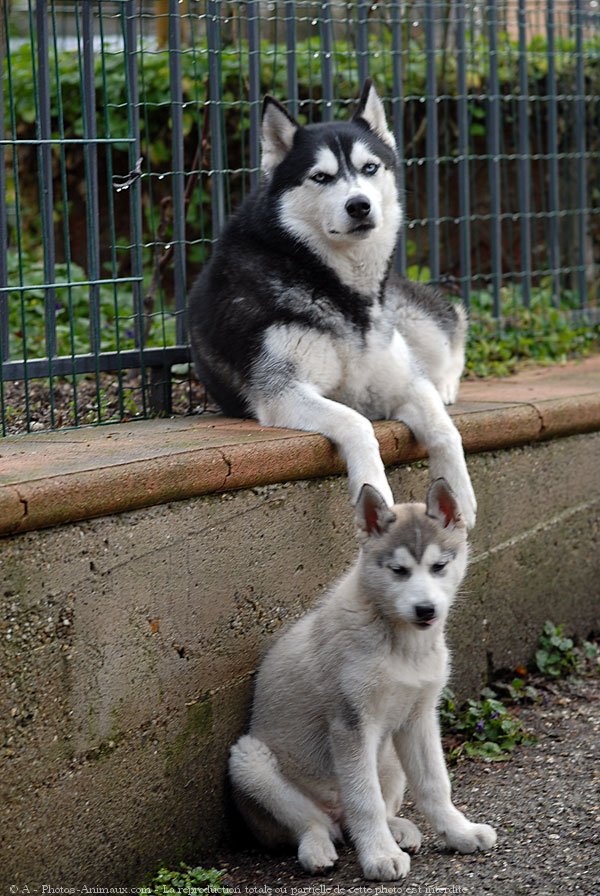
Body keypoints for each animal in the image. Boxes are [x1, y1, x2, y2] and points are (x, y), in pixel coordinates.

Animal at [188, 80, 474, 524]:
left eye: (370, 168)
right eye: (321, 177)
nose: (359, 205)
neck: (337, 288)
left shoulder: (404, 381)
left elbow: (445, 428)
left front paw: (460, 494)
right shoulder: (283, 392)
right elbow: (357, 423)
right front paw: (376, 493)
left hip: (413, 319)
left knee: (453, 328)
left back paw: (445, 382)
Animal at [230, 480, 496, 880]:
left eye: (439, 567)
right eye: (399, 570)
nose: (425, 610)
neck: (402, 645)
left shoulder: (419, 717)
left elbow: (435, 784)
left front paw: (459, 833)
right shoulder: (351, 724)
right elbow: (364, 799)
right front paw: (380, 856)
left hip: (391, 758)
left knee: (370, 813)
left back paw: (398, 830)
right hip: (250, 762)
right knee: (315, 824)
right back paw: (319, 849)